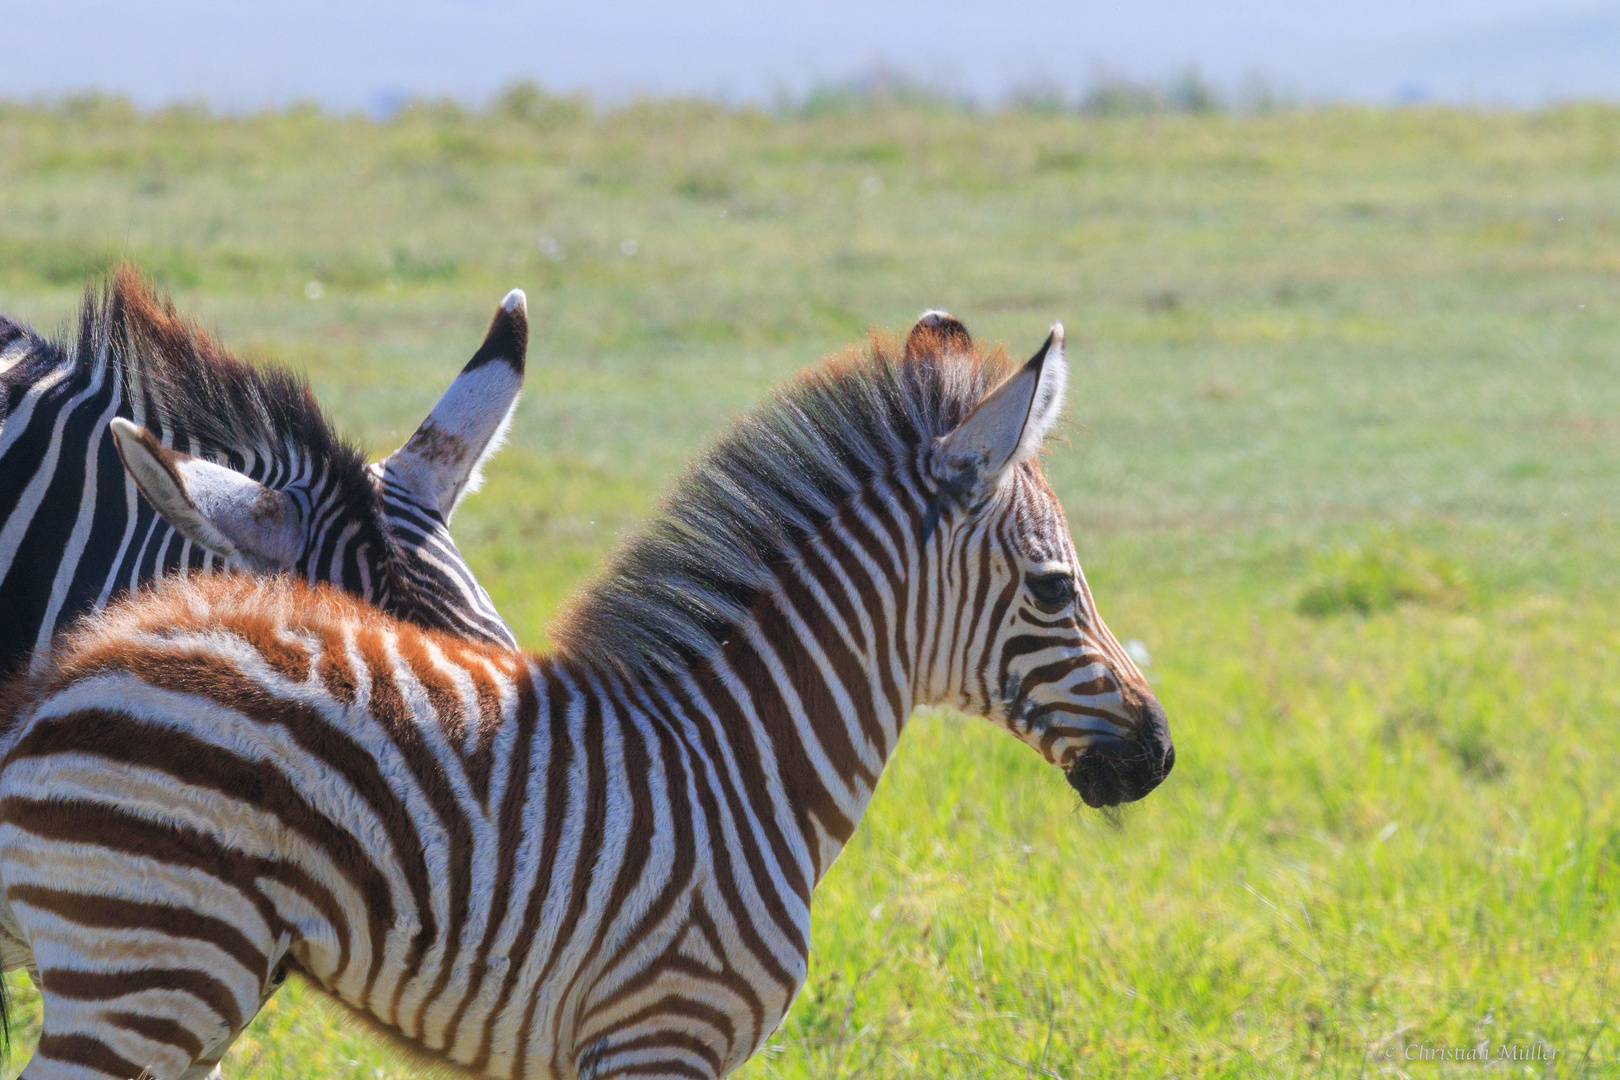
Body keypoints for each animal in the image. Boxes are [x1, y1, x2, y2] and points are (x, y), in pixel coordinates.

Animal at [0, 312, 1172, 1080]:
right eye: (1055, 586)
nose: (1158, 752)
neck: (743, 760)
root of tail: (68, 672)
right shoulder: (662, 1030)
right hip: (150, 969)